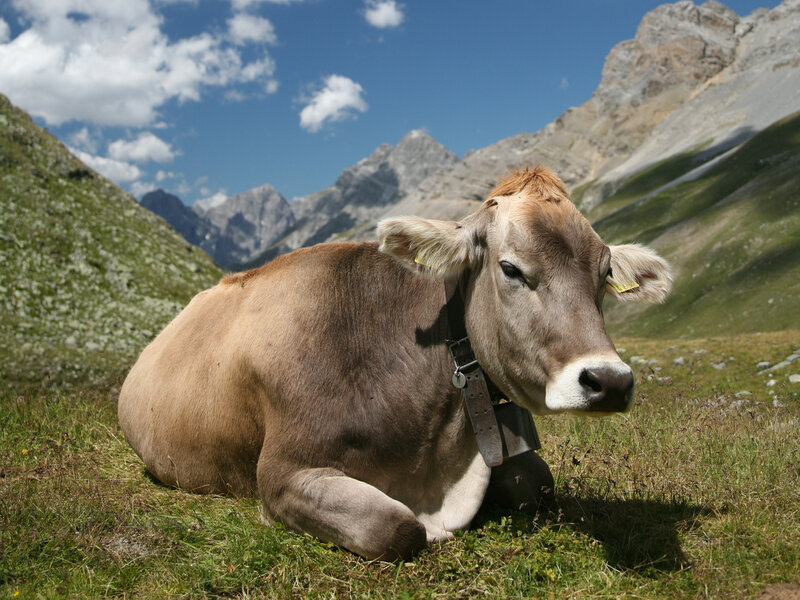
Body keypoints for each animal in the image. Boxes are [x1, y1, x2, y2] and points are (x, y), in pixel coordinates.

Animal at [118, 166, 671, 560]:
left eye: (604, 274)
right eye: (511, 268)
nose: (609, 381)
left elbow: (538, 483)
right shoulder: (282, 474)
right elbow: (396, 527)